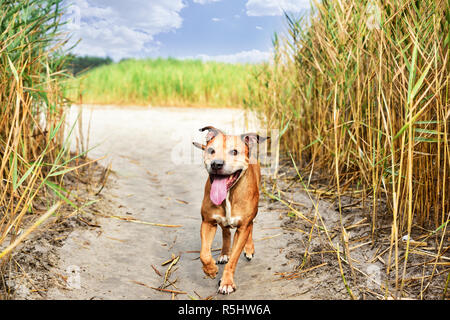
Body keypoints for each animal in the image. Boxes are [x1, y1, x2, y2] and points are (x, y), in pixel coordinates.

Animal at [192, 125, 268, 296]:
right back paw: (224, 253)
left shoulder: (243, 227)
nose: (216, 164)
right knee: (225, 231)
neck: (228, 194)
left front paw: (226, 282)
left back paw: (249, 248)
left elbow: (234, 259)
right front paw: (211, 270)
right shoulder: (208, 222)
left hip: (252, 215)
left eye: (234, 152)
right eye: (211, 150)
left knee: (251, 227)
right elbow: (204, 254)